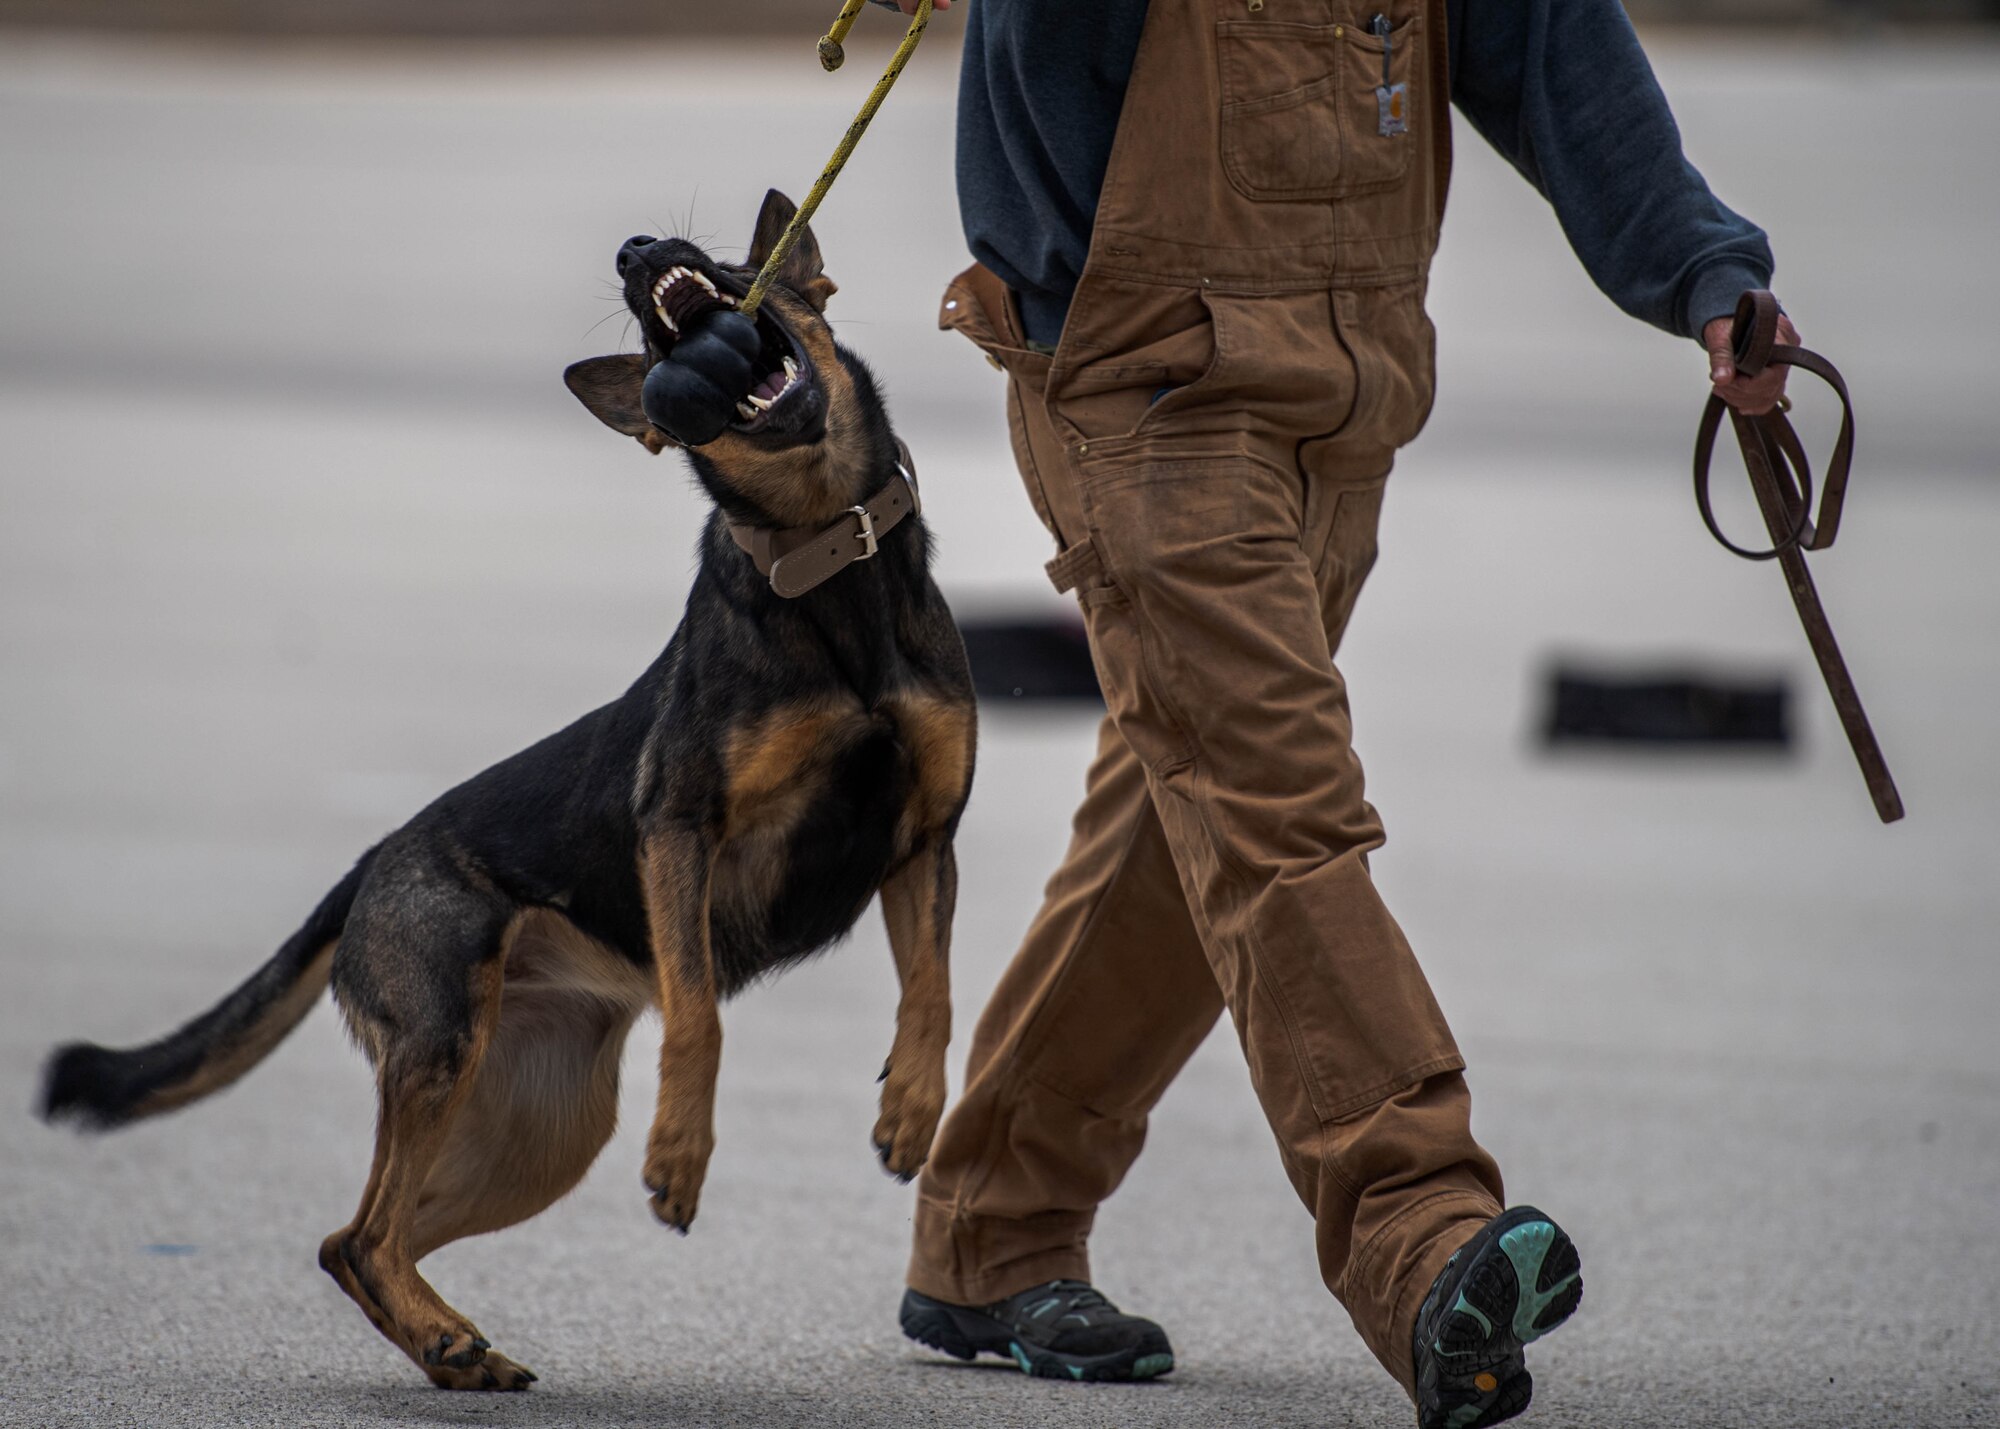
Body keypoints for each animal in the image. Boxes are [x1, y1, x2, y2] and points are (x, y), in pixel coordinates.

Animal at [43, 186, 980, 1376]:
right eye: (652, 331)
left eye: (732, 265)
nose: (637, 249)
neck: (827, 552)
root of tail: (371, 860)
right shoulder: (679, 828)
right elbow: (698, 1017)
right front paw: (681, 1156)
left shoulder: (926, 838)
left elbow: (934, 990)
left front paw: (912, 1111)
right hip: (448, 1047)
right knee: (363, 1234)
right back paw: (449, 1338)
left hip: (539, 1127)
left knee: (358, 1240)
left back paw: (451, 1343)